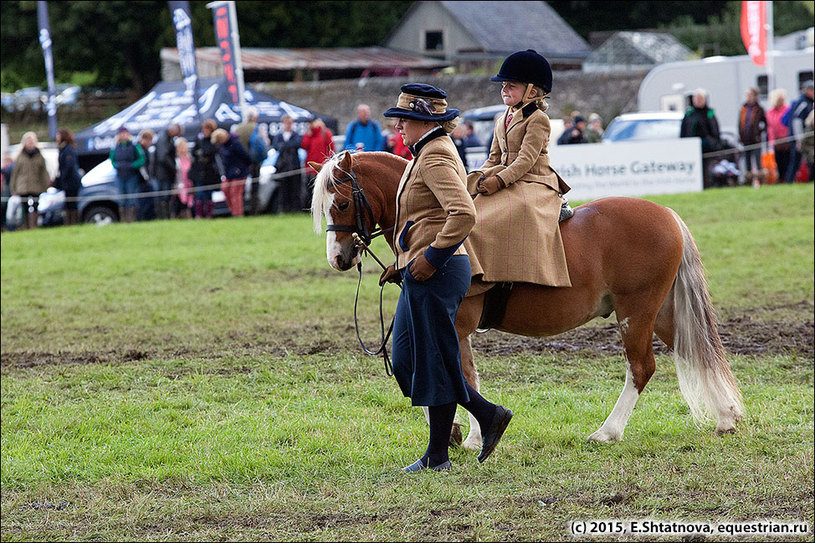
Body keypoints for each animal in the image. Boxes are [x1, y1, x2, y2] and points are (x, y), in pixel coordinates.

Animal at [310, 150, 744, 450]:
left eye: (343, 203)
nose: (338, 258)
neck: (437, 232)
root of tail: (668, 213)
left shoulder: (453, 323)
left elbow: (458, 376)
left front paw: (469, 434)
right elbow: (463, 375)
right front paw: (467, 434)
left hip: (635, 312)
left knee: (641, 368)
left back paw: (608, 431)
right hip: (662, 311)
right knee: (696, 351)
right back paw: (725, 418)